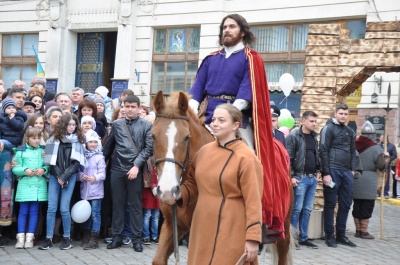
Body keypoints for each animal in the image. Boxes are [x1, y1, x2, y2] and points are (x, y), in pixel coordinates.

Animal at [152, 91, 296, 264]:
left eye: (186, 137)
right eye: (153, 136)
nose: (167, 190)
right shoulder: (172, 225)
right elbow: (158, 259)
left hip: (283, 226)